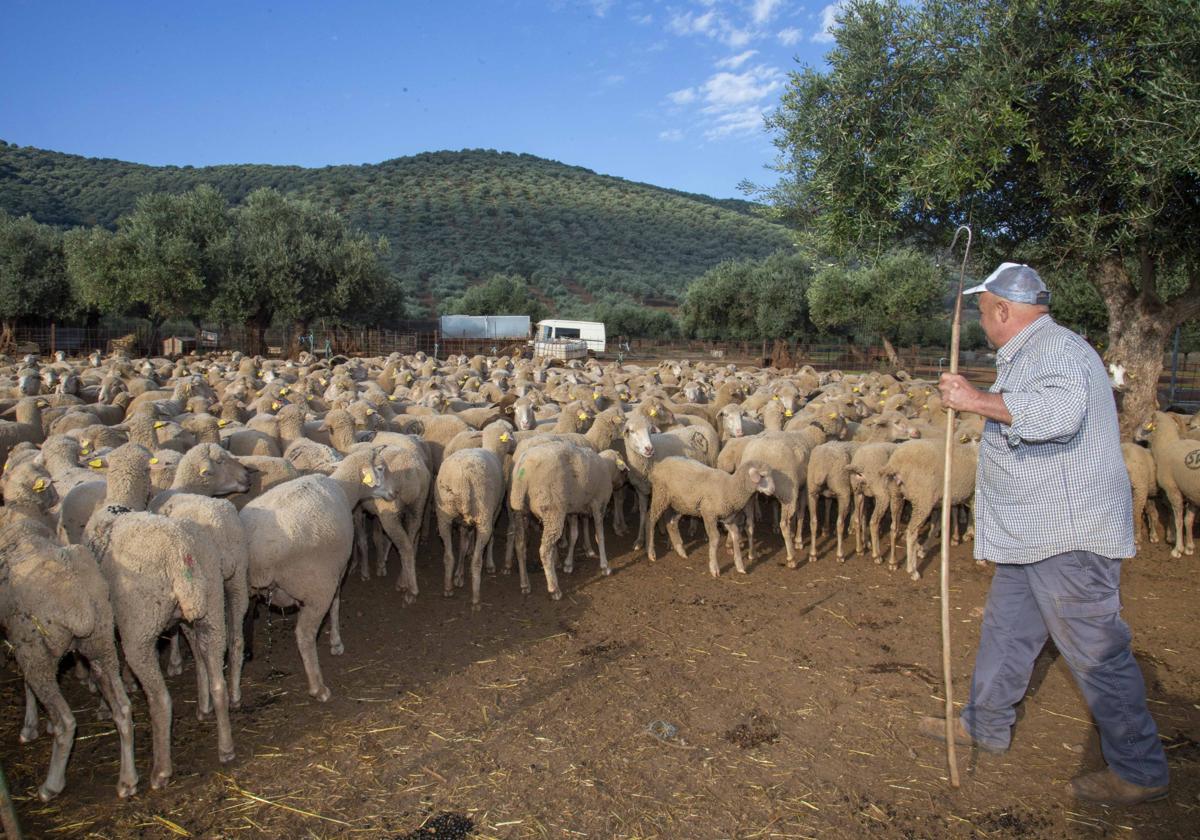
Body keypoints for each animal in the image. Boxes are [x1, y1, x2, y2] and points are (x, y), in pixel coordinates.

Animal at [238, 446, 393, 700]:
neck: (344, 487)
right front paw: (336, 643)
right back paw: (318, 688)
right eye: (380, 468)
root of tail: (255, 549)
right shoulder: (336, 570)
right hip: (318, 586)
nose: (394, 492)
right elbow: (336, 605)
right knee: (304, 634)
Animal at [439, 422, 518, 607]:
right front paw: (490, 565)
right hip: (483, 516)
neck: (493, 450)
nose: (516, 443)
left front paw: (458, 576)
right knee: (476, 560)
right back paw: (476, 599)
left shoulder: (463, 523)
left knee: (448, 555)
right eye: (511, 431)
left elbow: (463, 544)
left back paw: (448, 588)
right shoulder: (495, 509)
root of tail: (462, 480)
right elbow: (492, 539)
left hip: (444, 515)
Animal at [648, 456, 777, 573]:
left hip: (681, 504)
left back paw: (680, 550)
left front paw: (739, 565)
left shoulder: (727, 518)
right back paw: (651, 553)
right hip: (660, 495)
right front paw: (714, 567)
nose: (773, 490)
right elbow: (715, 538)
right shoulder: (709, 514)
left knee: (671, 523)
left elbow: (735, 535)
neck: (730, 487)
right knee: (651, 520)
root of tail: (661, 463)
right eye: (762, 476)